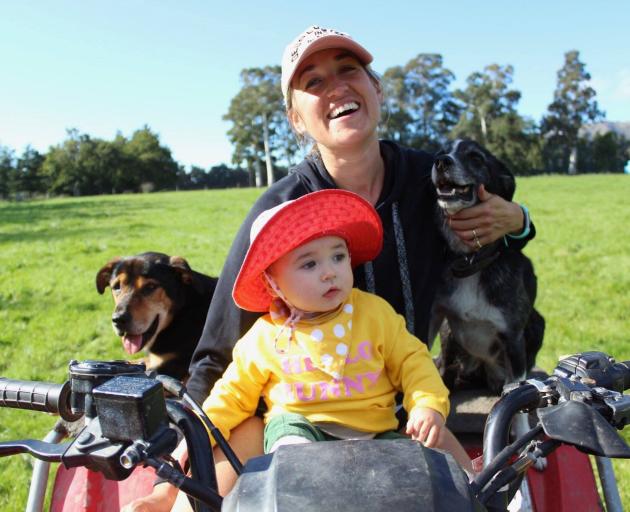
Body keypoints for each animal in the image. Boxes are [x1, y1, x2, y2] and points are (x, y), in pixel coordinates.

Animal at [432, 140, 544, 396]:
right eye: (440, 151)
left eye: (476, 157)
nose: (441, 161)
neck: (471, 259)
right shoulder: (438, 317)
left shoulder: (513, 340)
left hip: (537, 323)